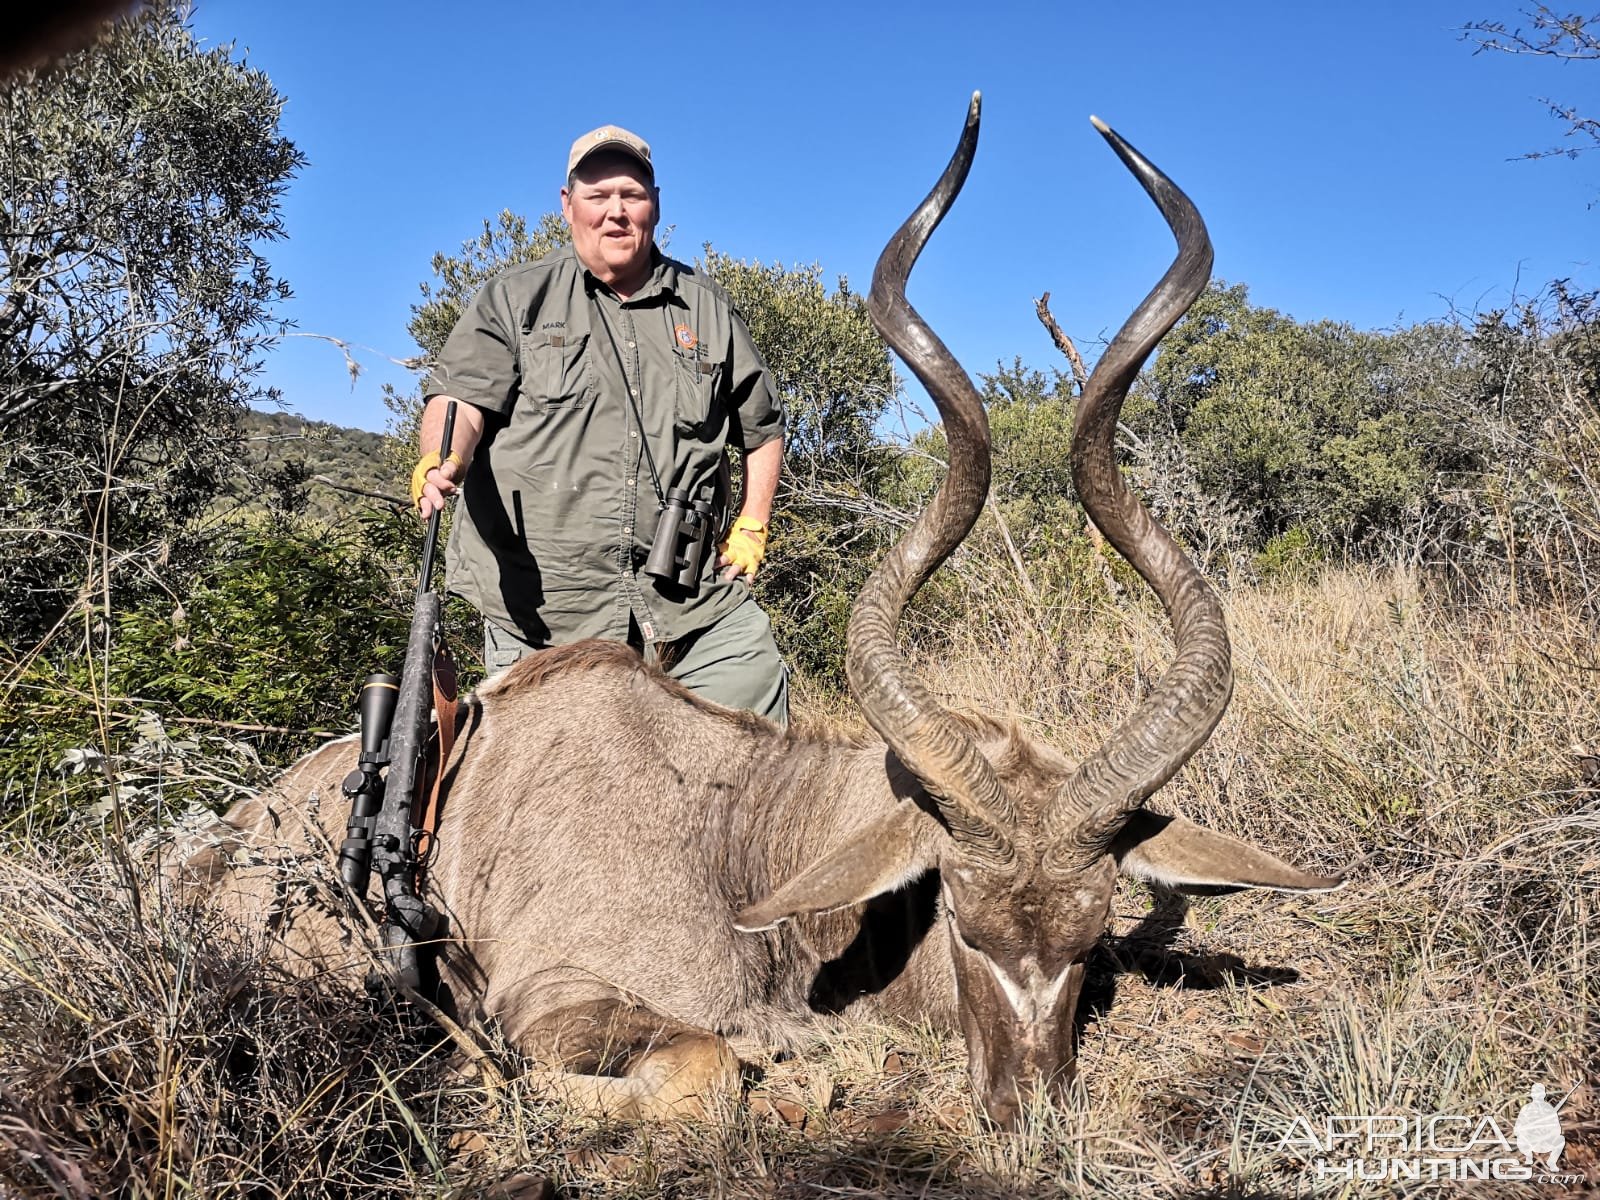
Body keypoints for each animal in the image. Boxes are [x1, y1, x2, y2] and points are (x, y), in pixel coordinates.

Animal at [175, 98, 1344, 1132]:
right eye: (961, 923)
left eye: (1092, 935)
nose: (1028, 1113)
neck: (735, 834)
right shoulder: (550, 998)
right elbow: (700, 1070)